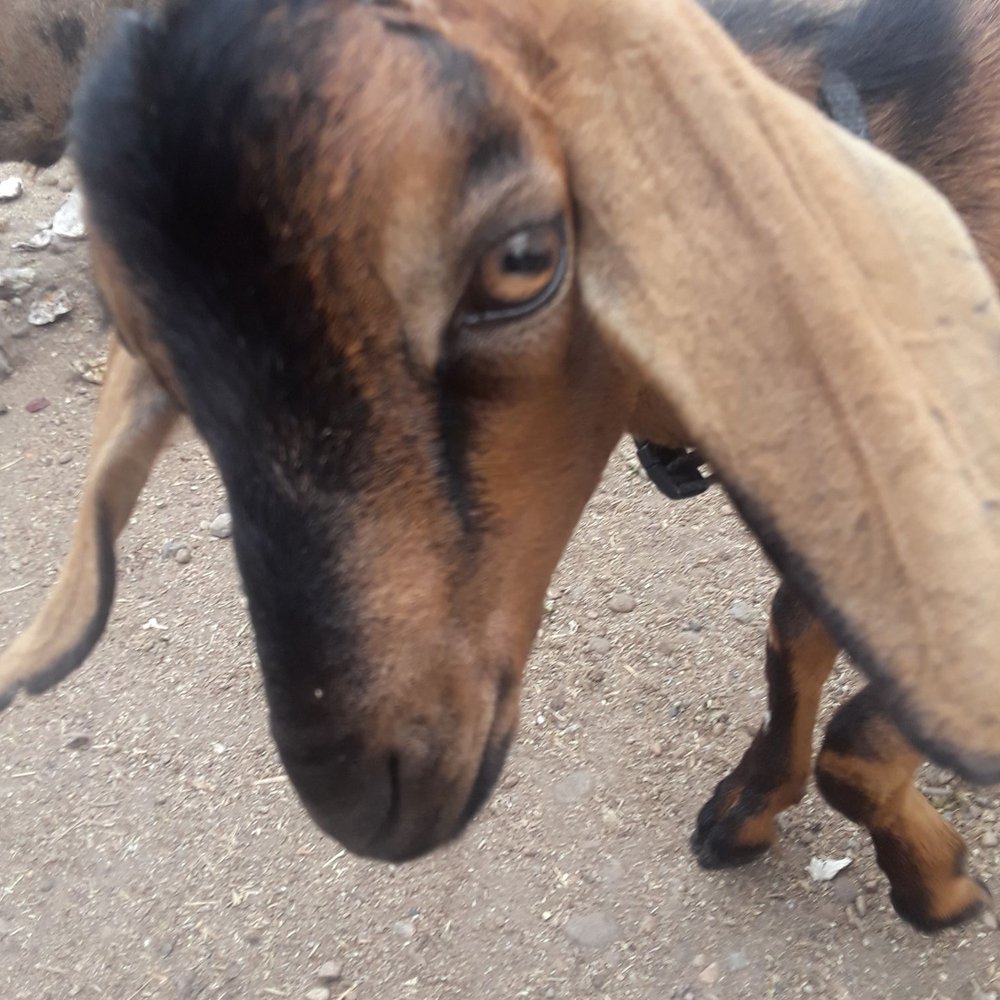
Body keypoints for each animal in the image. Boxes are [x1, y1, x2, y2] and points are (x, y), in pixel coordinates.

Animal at [1, 0, 999, 934]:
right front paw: (750, 810)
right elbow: (797, 640)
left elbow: (858, 738)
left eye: (522, 260)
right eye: (151, 352)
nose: (365, 802)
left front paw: (937, 886)